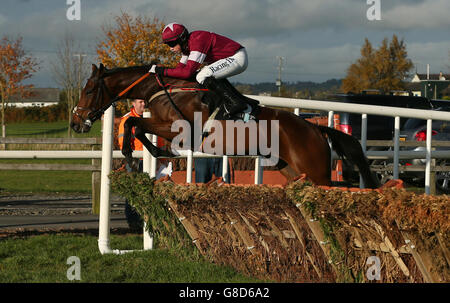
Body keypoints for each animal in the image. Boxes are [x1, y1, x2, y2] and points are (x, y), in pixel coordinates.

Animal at [70, 63, 380, 189]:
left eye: (88, 90)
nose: (75, 123)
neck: (164, 89)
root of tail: (315, 129)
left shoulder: (182, 130)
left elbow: (135, 123)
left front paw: (138, 158)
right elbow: (137, 125)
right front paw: (151, 155)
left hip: (316, 171)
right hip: (292, 170)